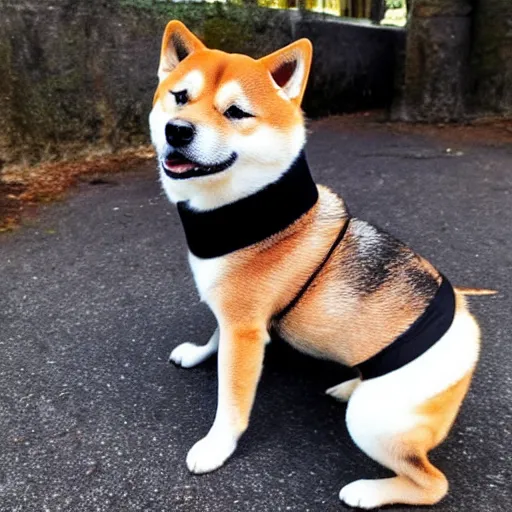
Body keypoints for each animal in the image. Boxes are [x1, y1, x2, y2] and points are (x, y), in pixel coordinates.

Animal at [149, 20, 492, 508]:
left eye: (236, 113)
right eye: (179, 97)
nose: (177, 131)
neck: (247, 209)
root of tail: (467, 327)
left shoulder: (245, 334)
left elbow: (231, 401)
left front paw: (216, 446)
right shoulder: (233, 319)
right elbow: (214, 336)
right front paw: (199, 354)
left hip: (373, 420)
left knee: (432, 483)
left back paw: (367, 491)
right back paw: (349, 385)